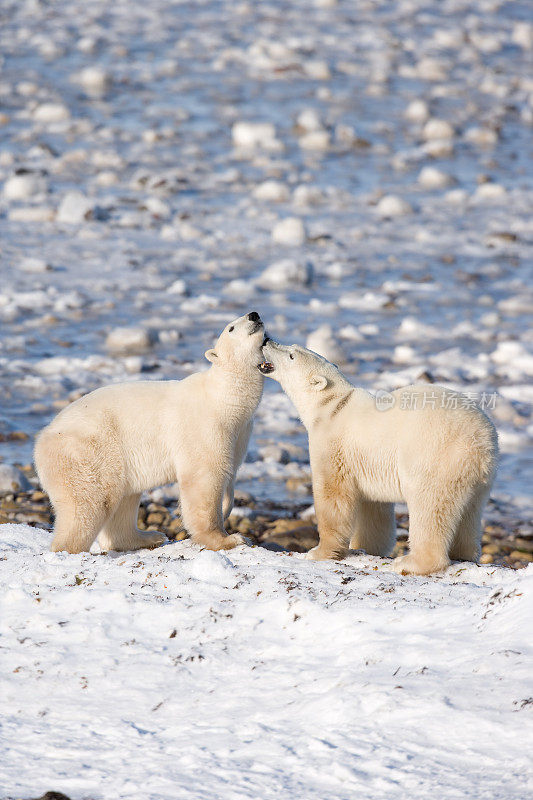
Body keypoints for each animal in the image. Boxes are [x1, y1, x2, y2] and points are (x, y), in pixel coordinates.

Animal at [34, 312, 266, 556]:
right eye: (231, 328)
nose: (254, 314)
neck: (223, 399)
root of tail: (42, 440)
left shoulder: (240, 432)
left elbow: (230, 472)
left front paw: (227, 507)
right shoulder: (203, 426)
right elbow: (204, 477)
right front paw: (228, 539)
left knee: (124, 501)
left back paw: (147, 537)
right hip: (89, 453)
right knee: (90, 503)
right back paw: (70, 548)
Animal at [260, 340, 496, 576]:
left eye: (292, 354)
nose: (267, 341)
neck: (333, 406)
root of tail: (481, 442)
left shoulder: (334, 445)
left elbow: (333, 496)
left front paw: (320, 552)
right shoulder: (365, 462)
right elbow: (374, 509)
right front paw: (364, 547)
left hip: (434, 457)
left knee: (429, 508)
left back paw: (411, 562)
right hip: (477, 479)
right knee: (470, 513)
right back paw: (463, 554)